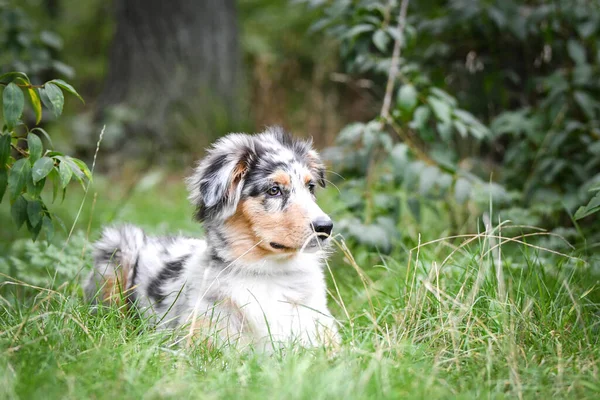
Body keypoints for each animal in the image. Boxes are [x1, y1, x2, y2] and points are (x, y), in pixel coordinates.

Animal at [84, 126, 340, 352]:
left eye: (310, 187)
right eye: (274, 190)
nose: (325, 227)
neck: (269, 273)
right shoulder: (198, 342)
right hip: (119, 247)